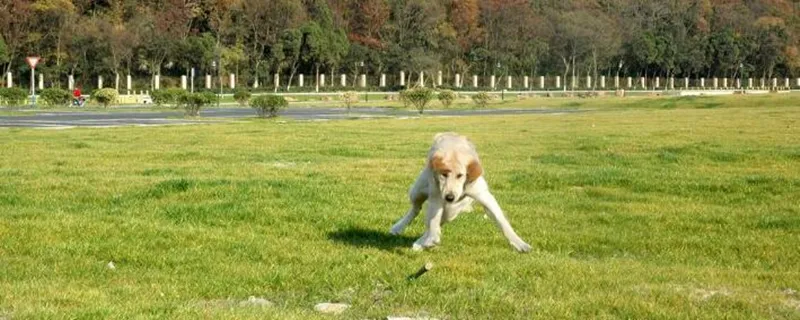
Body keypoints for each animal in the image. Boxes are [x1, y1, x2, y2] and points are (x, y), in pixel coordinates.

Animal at [390, 132, 532, 252]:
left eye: (460, 175)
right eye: (444, 174)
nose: (450, 197)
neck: (454, 150)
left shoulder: (483, 195)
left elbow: (501, 220)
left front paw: (520, 243)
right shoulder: (436, 194)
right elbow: (433, 221)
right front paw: (432, 238)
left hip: (451, 211)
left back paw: (420, 242)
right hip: (417, 192)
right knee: (416, 210)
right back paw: (399, 228)